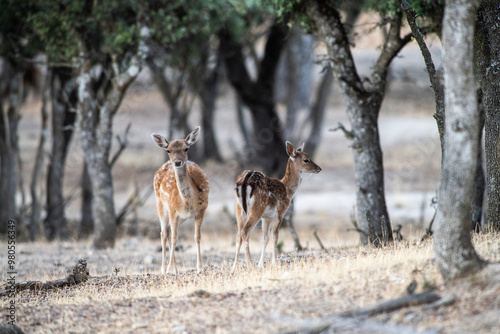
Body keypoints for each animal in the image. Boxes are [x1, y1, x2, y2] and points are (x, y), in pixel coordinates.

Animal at [150, 126, 209, 274]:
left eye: (186, 148)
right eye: (168, 150)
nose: (177, 162)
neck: (187, 202)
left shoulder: (202, 210)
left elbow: (197, 237)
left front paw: (200, 267)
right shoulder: (172, 209)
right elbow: (174, 238)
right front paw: (169, 268)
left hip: (181, 217)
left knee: (170, 232)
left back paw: (175, 268)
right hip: (160, 204)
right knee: (164, 233)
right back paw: (164, 268)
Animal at [232, 141, 322, 272]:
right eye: (306, 159)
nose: (319, 168)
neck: (287, 190)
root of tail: (244, 182)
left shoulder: (266, 217)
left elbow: (265, 238)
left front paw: (261, 264)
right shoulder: (280, 213)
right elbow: (275, 237)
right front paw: (275, 263)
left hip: (239, 209)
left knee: (238, 234)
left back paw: (234, 267)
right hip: (257, 207)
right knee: (245, 231)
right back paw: (250, 264)